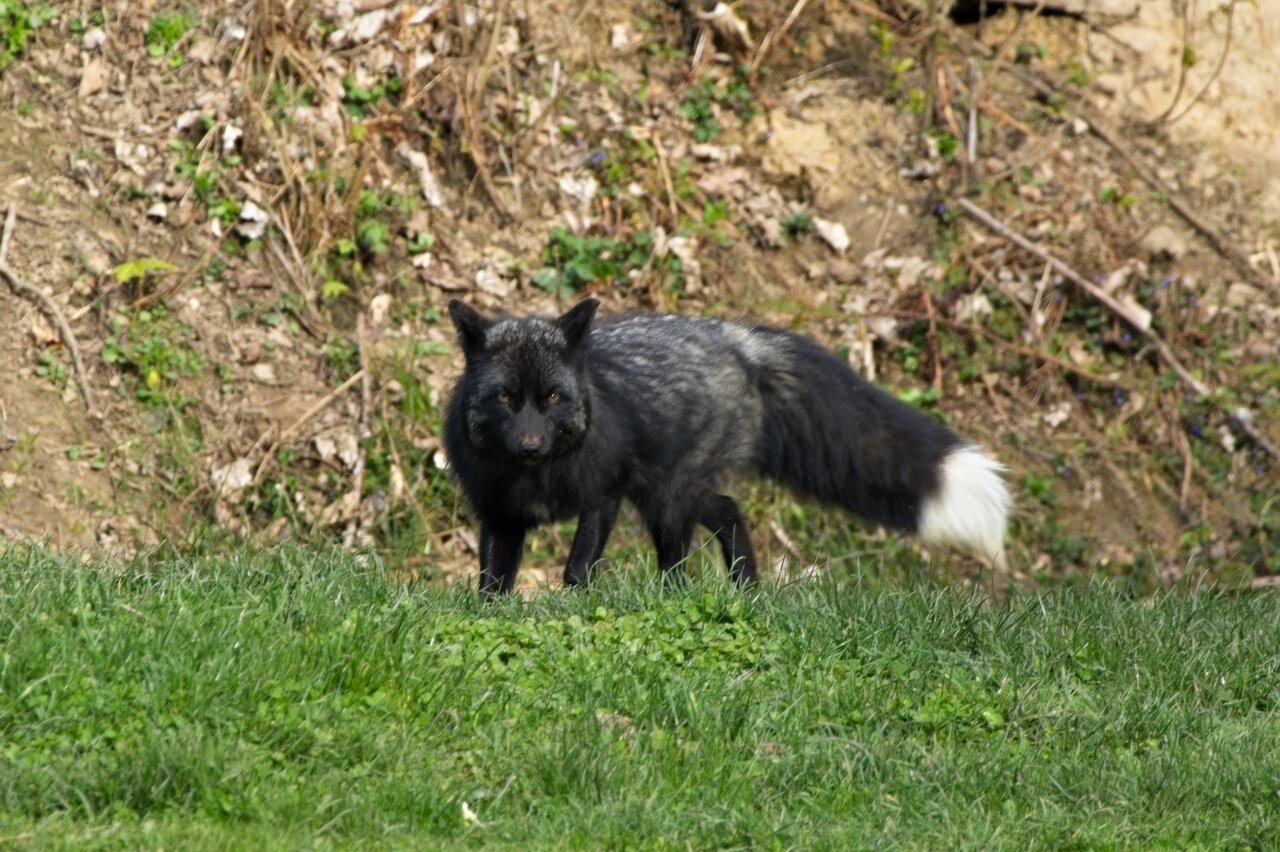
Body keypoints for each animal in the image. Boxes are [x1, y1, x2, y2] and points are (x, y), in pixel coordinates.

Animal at [444, 298, 1010, 594]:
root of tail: (741, 341)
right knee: (728, 511)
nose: (530, 445)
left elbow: (575, 570)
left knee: (684, 556)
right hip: (665, 497)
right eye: (505, 397)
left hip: (668, 502)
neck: (536, 478)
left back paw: (686, 600)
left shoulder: (601, 498)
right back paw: (745, 589)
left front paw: (572, 609)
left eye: (553, 397)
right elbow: (491, 583)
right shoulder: (499, 515)